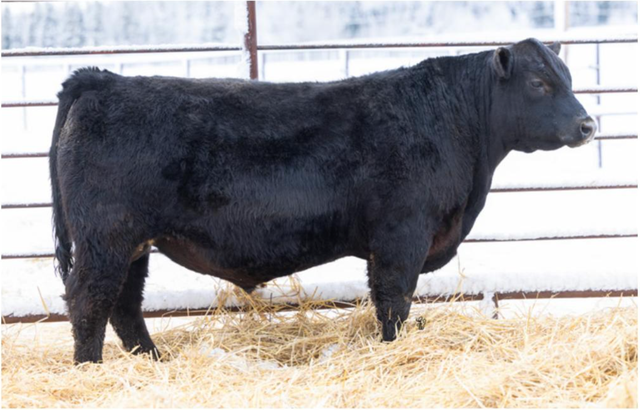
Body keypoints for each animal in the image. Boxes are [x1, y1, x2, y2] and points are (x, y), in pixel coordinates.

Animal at [49, 38, 596, 364]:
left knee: (124, 304)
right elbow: (394, 299)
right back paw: (90, 368)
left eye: (569, 77)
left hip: (134, 243)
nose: (588, 124)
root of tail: (102, 79)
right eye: (538, 82)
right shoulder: (402, 234)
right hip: (106, 236)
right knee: (89, 299)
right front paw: (392, 350)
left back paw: (152, 361)